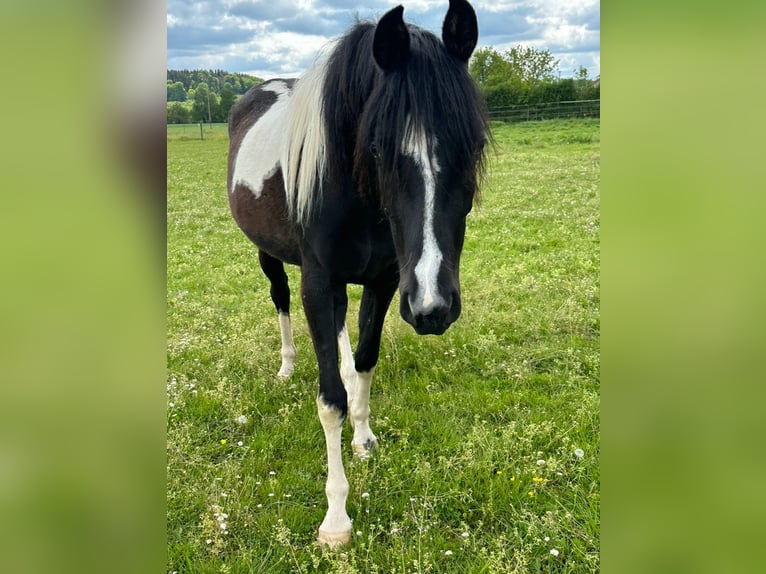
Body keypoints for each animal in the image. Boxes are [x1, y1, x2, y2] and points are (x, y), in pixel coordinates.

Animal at [228, 0, 492, 548]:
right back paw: (286, 364)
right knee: (280, 299)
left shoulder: (386, 279)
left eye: (474, 145)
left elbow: (366, 361)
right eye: (376, 148)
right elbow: (329, 399)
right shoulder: (318, 281)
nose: (434, 305)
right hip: (269, 257)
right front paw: (335, 518)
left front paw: (365, 436)